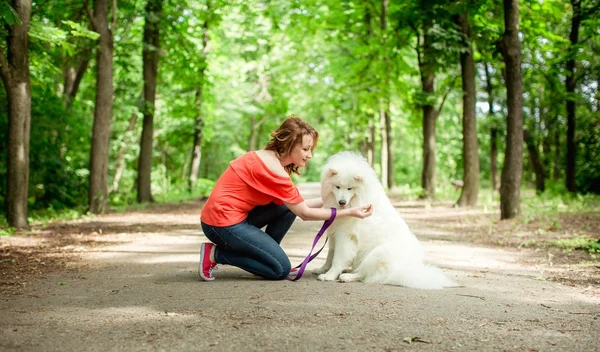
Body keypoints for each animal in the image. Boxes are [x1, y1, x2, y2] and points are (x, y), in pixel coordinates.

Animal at [314, 151, 454, 288]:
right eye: (337, 186)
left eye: (350, 188)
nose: (342, 202)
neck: (357, 199)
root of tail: (408, 270)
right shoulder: (334, 233)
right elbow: (330, 255)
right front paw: (322, 269)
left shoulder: (345, 235)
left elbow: (338, 258)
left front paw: (329, 275)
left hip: (377, 253)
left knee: (366, 274)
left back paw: (347, 276)